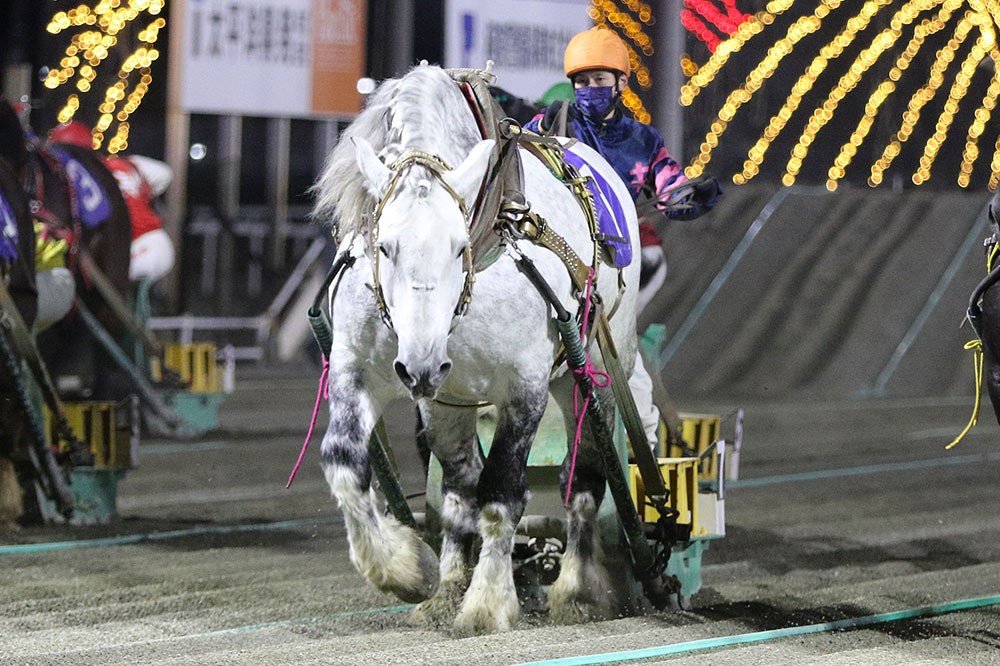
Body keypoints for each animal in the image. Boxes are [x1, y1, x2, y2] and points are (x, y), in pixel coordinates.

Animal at [308, 65, 644, 632]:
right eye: (384, 246)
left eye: (459, 246)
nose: (421, 365)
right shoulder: (359, 370)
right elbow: (344, 466)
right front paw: (407, 570)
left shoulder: (524, 386)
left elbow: (503, 493)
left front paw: (487, 602)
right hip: (449, 403)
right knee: (458, 488)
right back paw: (447, 587)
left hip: (590, 371)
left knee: (583, 477)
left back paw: (577, 589)